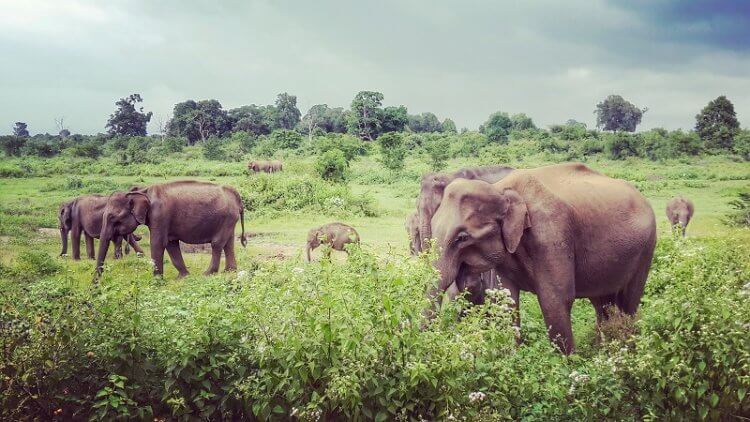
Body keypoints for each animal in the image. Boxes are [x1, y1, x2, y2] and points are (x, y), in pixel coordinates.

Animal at [95, 181, 248, 276]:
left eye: (113, 218)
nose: (96, 281)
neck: (142, 191)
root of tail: (237, 197)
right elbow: (171, 243)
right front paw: (183, 276)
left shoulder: (159, 215)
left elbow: (157, 243)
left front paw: (156, 281)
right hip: (229, 219)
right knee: (228, 243)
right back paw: (229, 271)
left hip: (227, 217)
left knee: (217, 243)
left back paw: (208, 273)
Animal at [432, 163, 656, 354]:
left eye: (462, 238)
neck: (501, 189)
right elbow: (508, 299)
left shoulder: (551, 234)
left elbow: (555, 300)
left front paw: (568, 364)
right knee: (603, 304)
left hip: (646, 249)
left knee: (629, 301)